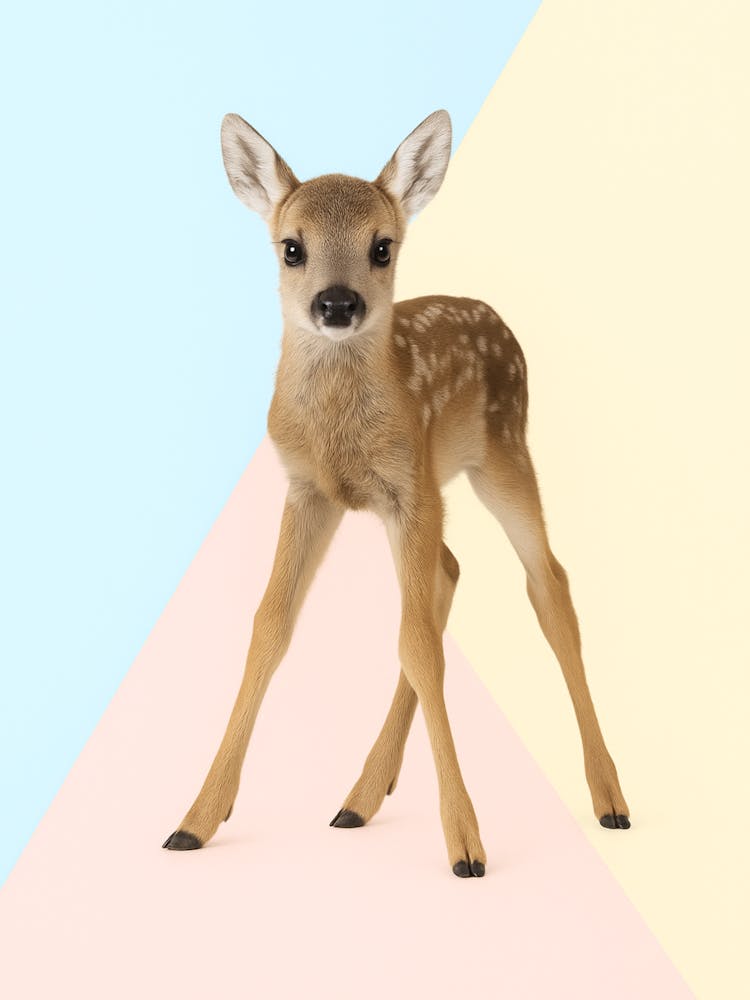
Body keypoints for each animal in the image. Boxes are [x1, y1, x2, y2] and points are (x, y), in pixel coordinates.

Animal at [162, 109, 631, 878]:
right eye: (291, 248)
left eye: (382, 247)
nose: (337, 302)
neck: (340, 433)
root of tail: (496, 318)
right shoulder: (310, 491)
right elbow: (270, 626)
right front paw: (197, 818)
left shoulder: (409, 487)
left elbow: (415, 643)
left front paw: (466, 845)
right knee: (449, 574)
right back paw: (360, 797)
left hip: (502, 456)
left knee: (547, 584)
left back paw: (610, 798)